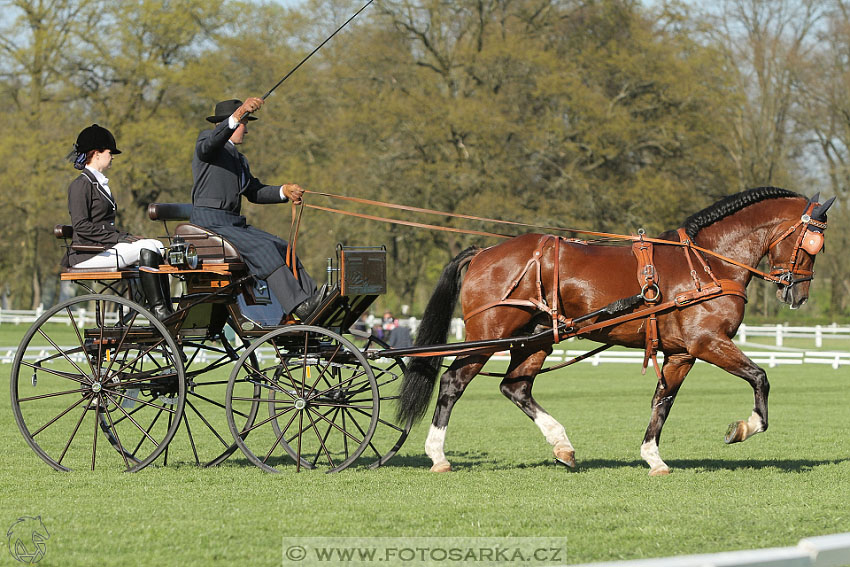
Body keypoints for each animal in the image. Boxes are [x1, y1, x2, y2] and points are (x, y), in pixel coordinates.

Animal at [400, 190, 836, 474]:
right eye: (813, 242)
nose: (798, 294)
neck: (706, 264)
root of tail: (485, 252)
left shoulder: (682, 353)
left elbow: (663, 401)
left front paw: (653, 457)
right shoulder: (708, 343)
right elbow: (760, 377)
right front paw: (744, 428)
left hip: (534, 339)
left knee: (515, 387)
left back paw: (562, 445)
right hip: (489, 333)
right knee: (453, 382)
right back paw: (437, 455)